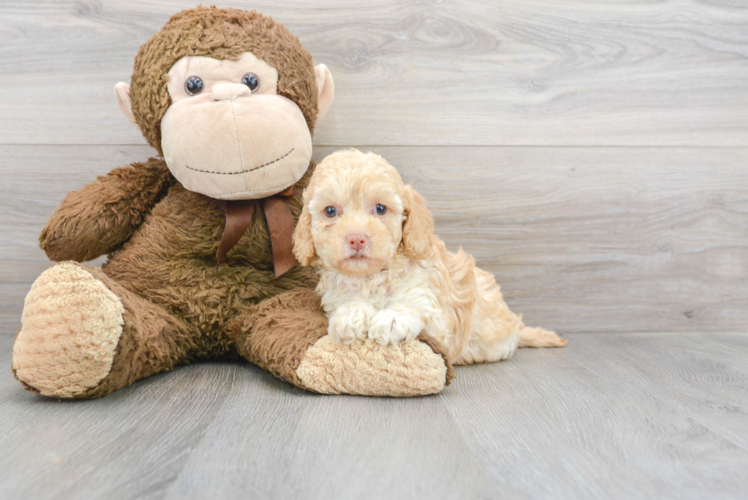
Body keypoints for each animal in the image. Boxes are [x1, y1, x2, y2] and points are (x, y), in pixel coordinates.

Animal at [294, 150, 568, 366]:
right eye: (330, 211)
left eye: (380, 208)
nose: (356, 238)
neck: (373, 276)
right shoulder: (337, 295)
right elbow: (348, 303)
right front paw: (352, 315)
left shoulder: (437, 314)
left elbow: (415, 307)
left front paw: (393, 318)